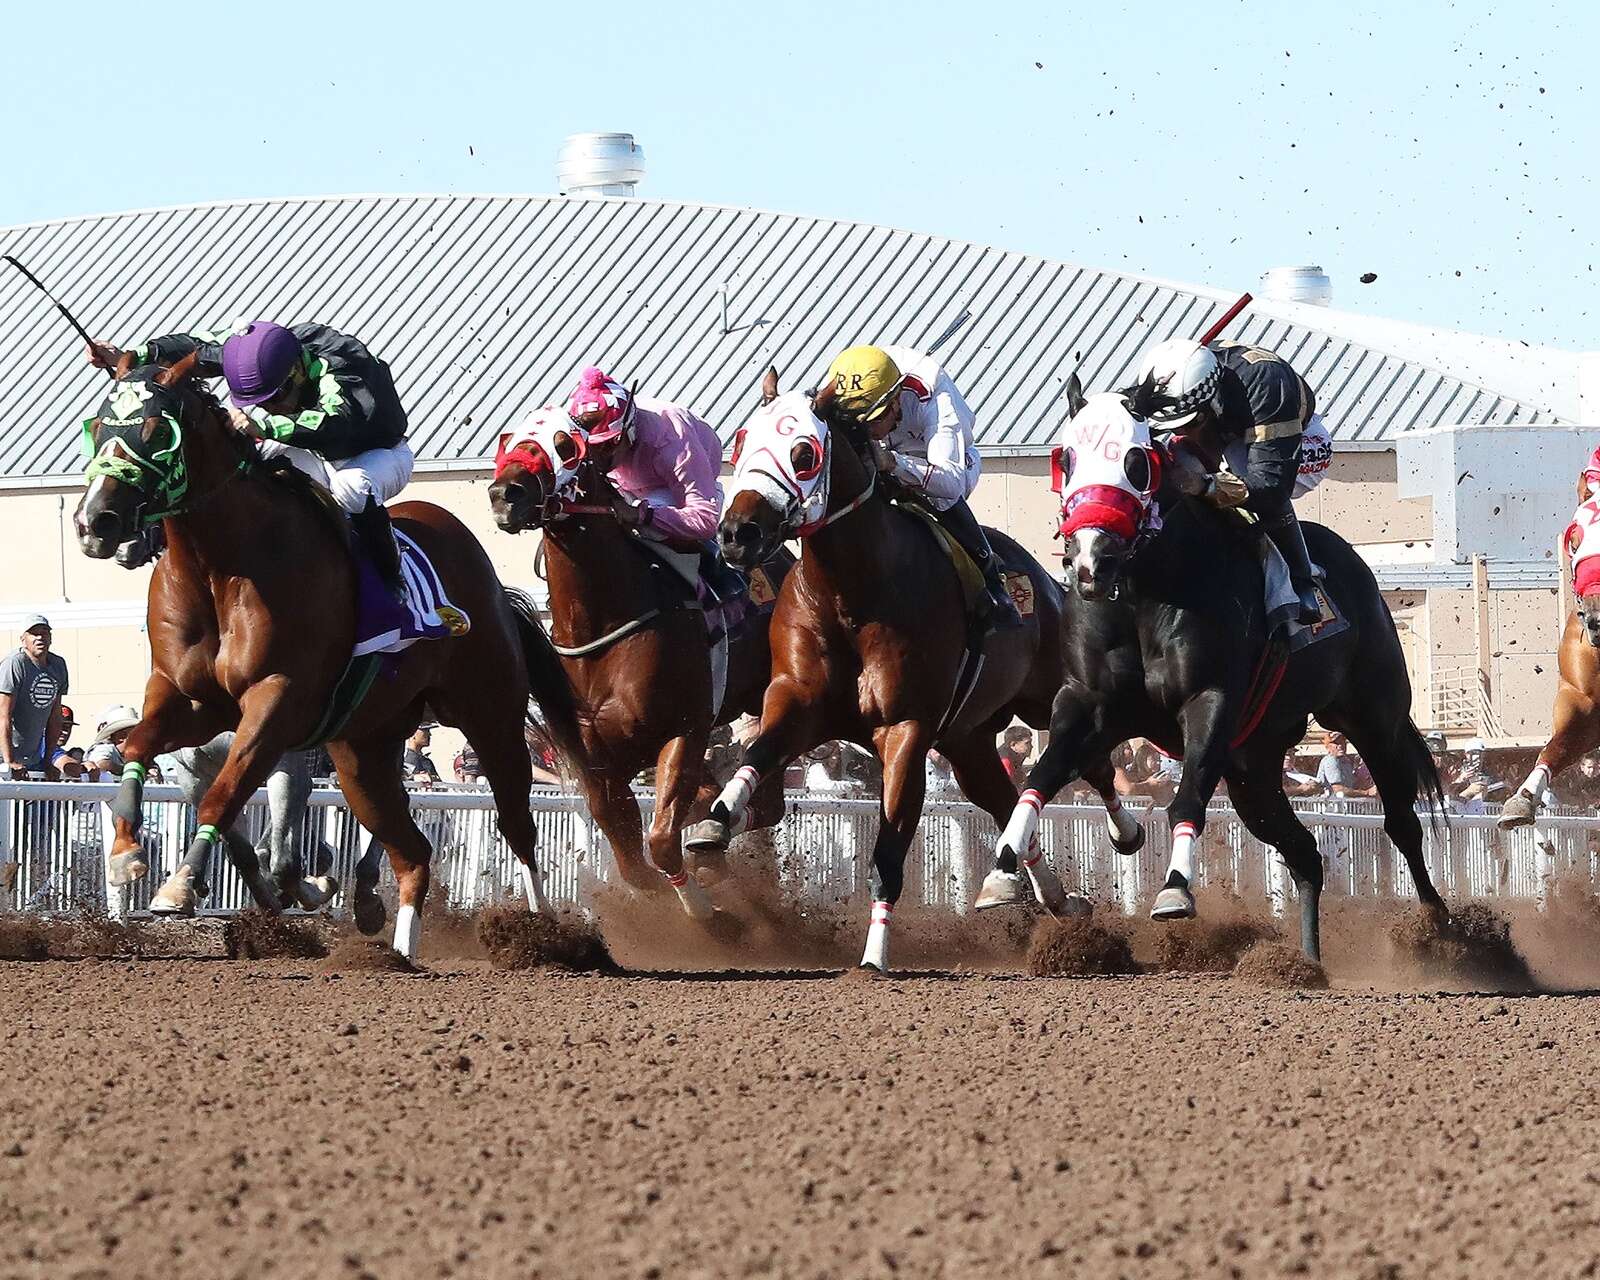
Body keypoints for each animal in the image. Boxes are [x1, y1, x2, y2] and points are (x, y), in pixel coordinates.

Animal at [76, 355, 576, 953]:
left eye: (156, 431)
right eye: (97, 426)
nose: (95, 522)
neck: (221, 567)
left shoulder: (277, 699)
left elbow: (225, 794)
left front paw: (179, 887)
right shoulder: (189, 699)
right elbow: (139, 746)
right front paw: (126, 852)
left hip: (491, 715)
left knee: (516, 824)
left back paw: (541, 933)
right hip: (364, 748)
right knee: (412, 849)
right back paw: (397, 950)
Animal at [483, 409, 790, 921]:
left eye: (565, 445)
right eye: (509, 441)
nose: (506, 494)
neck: (606, 629)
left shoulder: (684, 729)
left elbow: (662, 840)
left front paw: (704, 912)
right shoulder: (602, 761)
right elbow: (630, 858)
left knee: (768, 803)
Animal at [684, 380, 1139, 972]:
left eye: (805, 453)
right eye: (740, 442)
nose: (738, 533)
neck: (852, 595)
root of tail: (1051, 584)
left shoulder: (905, 729)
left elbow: (888, 852)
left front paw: (874, 954)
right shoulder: (796, 700)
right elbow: (757, 755)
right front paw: (716, 820)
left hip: (1045, 699)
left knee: (1092, 761)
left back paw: (1124, 831)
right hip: (967, 739)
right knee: (1003, 796)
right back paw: (1039, 892)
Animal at [985, 382, 1452, 960]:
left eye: (1136, 461)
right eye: (1067, 459)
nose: (1092, 562)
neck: (1145, 593)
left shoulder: (1211, 701)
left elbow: (1185, 797)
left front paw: (1174, 890)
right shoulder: (1086, 703)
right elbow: (1040, 777)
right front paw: (1003, 870)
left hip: (1372, 718)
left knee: (1402, 824)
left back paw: (1442, 933)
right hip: (1254, 767)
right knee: (1304, 854)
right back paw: (1308, 962)